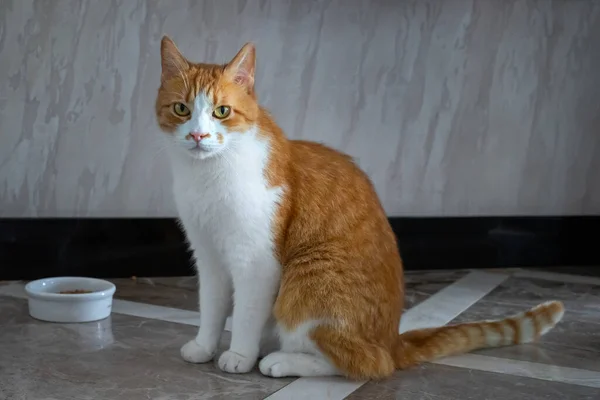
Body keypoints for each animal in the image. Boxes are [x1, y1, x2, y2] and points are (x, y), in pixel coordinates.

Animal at [154, 36, 564, 378]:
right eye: (181, 109)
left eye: (222, 112)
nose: (198, 135)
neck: (207, 176)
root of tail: (394, 341)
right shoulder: (209, 257)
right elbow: (211, 308)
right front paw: (204, 347)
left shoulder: (255, 263)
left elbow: (244, 316)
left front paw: (239, 355)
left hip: (307, 283)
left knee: (365, 363)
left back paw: (281, 360)